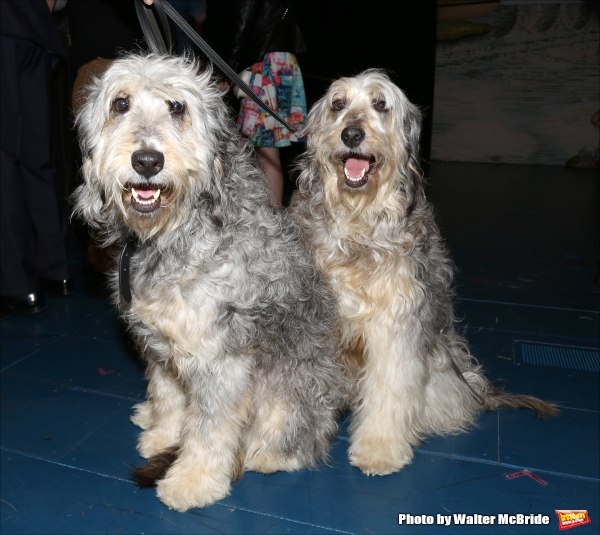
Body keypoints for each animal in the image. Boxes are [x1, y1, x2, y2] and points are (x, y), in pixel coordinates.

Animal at [74, 53, 346, 510]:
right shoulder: (162, 345)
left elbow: (209, 429)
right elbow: (169, 397)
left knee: (294, 438)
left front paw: (193, 481)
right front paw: (163, 434)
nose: (147, 161)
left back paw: (270, 454)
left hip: (288, 393)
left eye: (177, 107)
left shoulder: (219, 361)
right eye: (121, 104)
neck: (173, 232)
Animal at [288, 71, 556, 478]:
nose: (351, 134)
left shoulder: (396, 325)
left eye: (381, 104)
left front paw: (379, 450)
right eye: (338, 104)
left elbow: (389, 391)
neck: (355, 226)